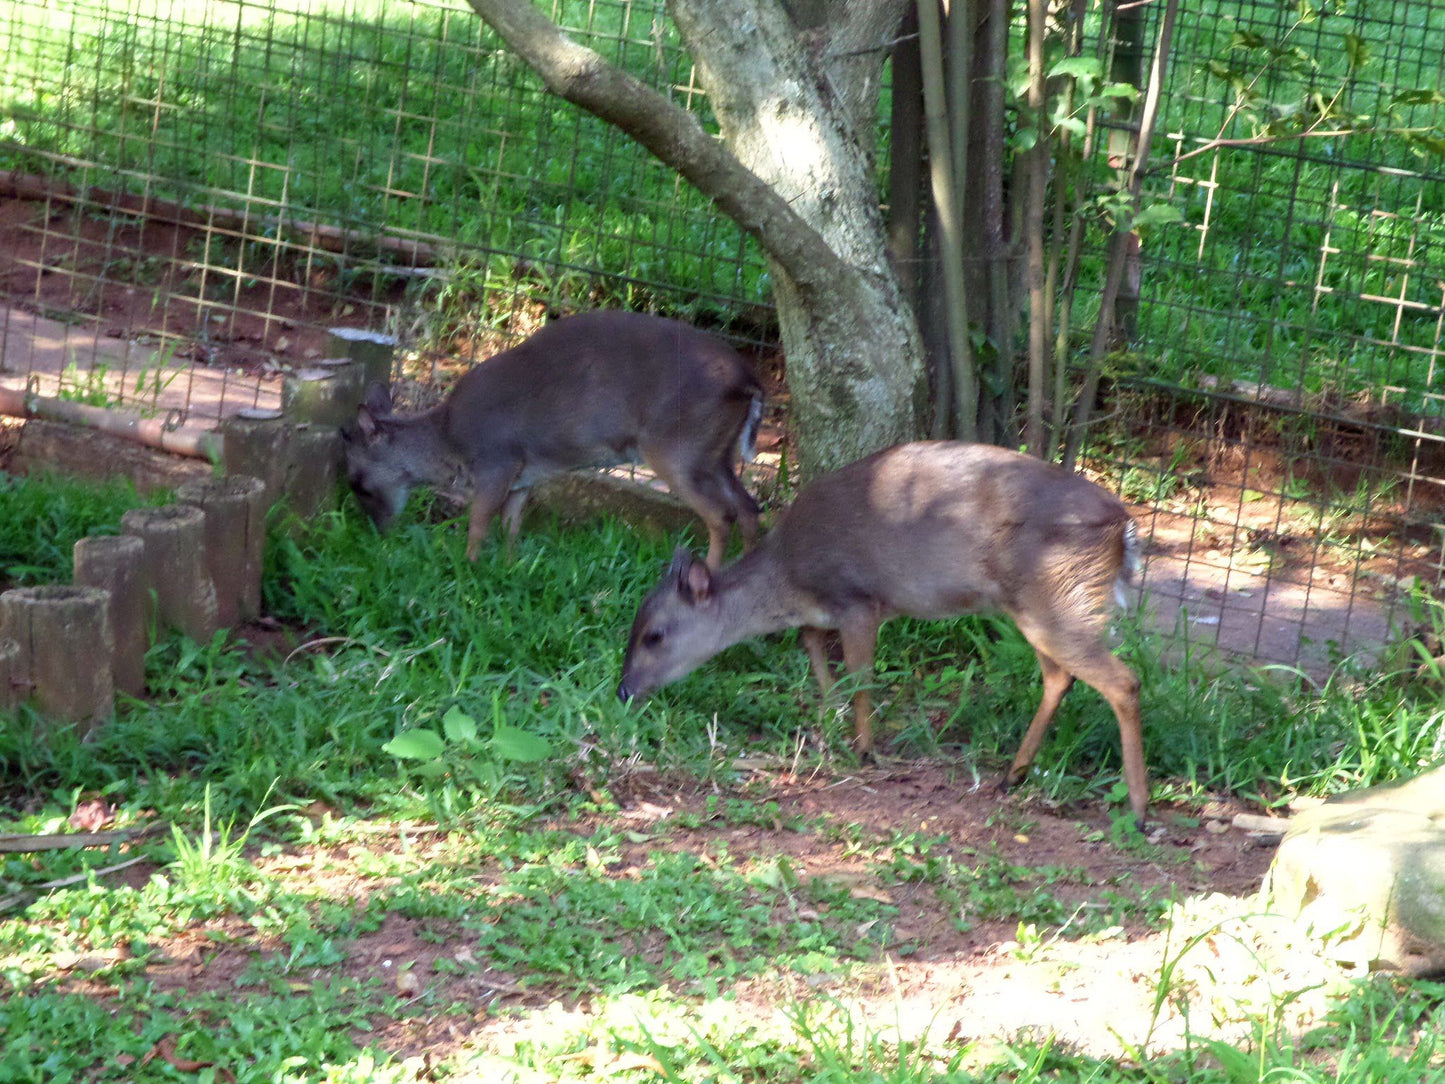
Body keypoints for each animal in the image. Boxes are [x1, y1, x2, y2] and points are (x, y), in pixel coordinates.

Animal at [621, 439, 1150, 820]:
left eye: (654, 635)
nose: (625, 690)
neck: (789, 579)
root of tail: (1123, 528)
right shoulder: (831, 611)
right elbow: (813, 647)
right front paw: (829, 720)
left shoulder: (859, 601)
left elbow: (860, 678)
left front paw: (865, 750)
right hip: (1038, 605)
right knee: (1060, 676)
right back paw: (1012, 776)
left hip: (1056, 594)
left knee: (1122, 680)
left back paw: (1139, 808)